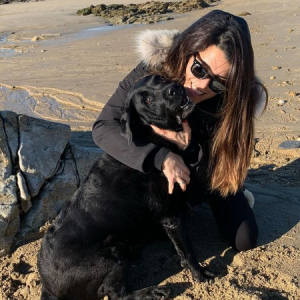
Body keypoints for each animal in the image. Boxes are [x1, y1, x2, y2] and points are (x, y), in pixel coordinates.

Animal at [37, 75, 206, 300]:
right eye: (147, 101)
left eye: (159, 79)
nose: (174, 89)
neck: (152, 135)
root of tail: (47, 288)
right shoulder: (171, 215)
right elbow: (188, 249)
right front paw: (200, 274)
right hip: (110, 255)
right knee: (118, 294)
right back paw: (153, 292)